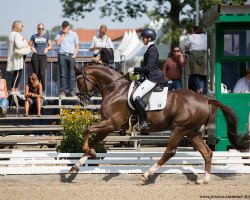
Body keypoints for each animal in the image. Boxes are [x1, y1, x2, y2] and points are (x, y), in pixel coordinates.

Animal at [70, 65, 250, 184]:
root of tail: (206, 100)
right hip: (192, 132)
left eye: (79, 81)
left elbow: (87, 129)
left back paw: (146, 174)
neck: (115, 89)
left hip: (179, 129)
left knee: (170, 152)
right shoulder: (108, 127)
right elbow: (94, 140)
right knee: (206, 152)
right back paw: (204, 179)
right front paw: (76, 166)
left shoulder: (112, 124)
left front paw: (88, 152)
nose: (81, 100)